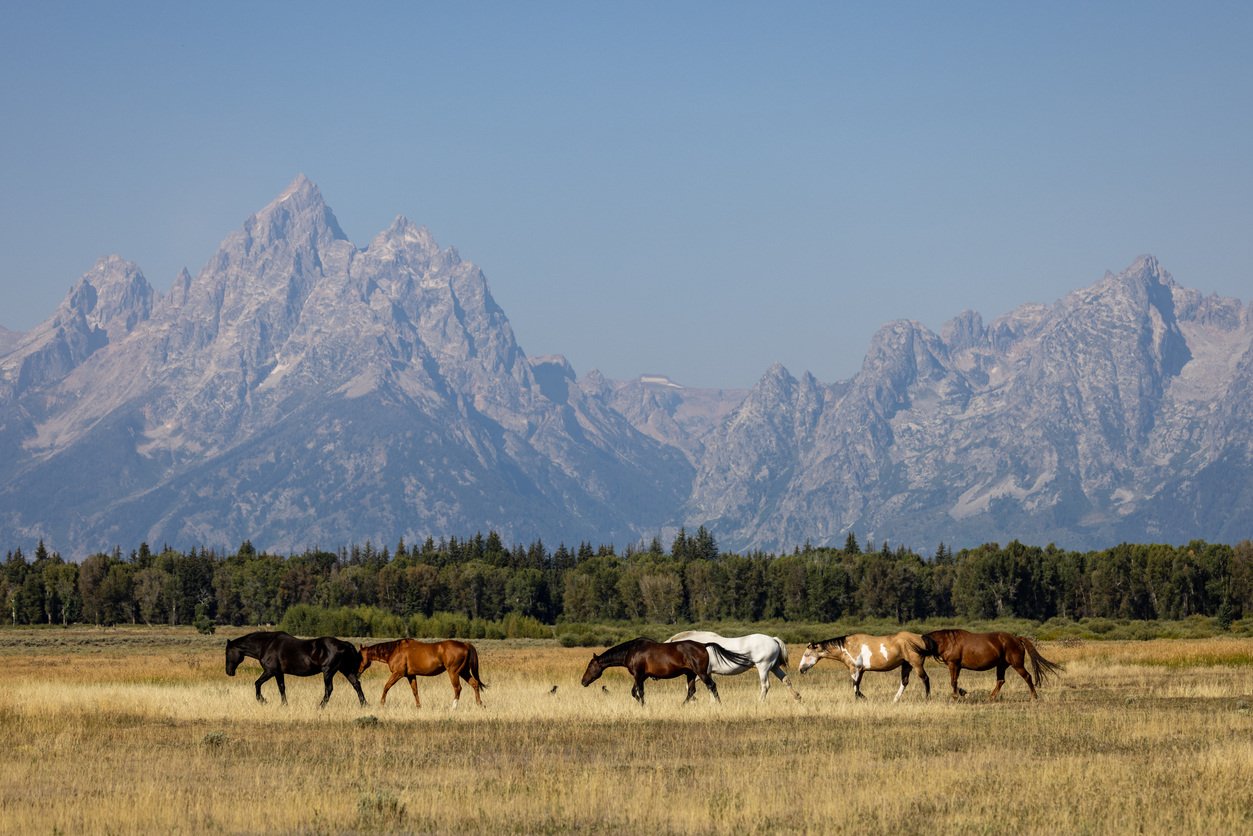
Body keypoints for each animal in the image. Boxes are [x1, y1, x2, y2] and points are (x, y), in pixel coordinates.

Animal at [224, 631, 365, 711]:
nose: (229, 672)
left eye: (227, 653)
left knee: (329, 689)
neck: (266, 645)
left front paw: (263, 701)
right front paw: (283, 705)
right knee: (356, 685)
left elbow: (259, 684)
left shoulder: (271, 671)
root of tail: (344, 644)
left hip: (328, 672)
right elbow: (282, 688)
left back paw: (320, 707)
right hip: (345, 670)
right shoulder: (279, 673)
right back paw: (364, 705)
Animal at [576, 641, 751, 706]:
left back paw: (719, 704)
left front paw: (643, 705)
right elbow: (634, 692)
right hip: (690, 675)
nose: (583, 681)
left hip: (701, 673)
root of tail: (703, 645)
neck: (631, 651)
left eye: (590, 666)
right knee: (691, 691)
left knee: (712, 686)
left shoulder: (638, 675)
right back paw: (682, 705)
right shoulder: (642, 676)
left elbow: (640, 692)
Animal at [666, 631, 801, 701]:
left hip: (763, 667)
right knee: (786, 680)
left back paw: (760, 702)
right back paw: (797, 697)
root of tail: (773, 639)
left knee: (765, 686)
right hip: (774, 667)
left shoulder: (702, 673)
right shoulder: (707, 674)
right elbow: (710, 687)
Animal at [791, 631, 932, 701]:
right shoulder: (861, 671)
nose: (801, 669)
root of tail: (920, 637)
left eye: (807, 654)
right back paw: (895, 700)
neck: (847, 647)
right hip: (906, 665)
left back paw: (927, 698)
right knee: (904, 682)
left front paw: (862, 699)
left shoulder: (855, 669)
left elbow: (855, 687)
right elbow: (857, 686)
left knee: (925, 679)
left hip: (916, 664)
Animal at [917, 626, 1062, 701]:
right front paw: (962, 692)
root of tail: (1017, 639)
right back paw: (991, 697)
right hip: (1001, 665)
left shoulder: (954, 665)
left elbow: (953, 682)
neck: (949, 642)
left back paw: (1034, 696)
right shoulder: (956, 666)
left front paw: (955, 696)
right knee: (1000, 681)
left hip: (1017, 665)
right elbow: (955, 682)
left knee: (1027, 677)